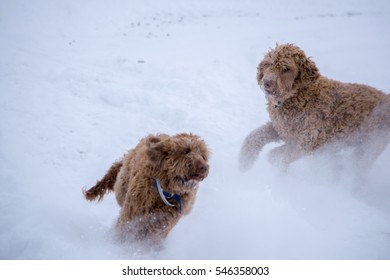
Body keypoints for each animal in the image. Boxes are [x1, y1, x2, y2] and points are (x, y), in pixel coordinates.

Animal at [239, 43, 390, 171]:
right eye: (268, 64)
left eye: (286, 69)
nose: (267, 83)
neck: (299, 96)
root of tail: (386, 97)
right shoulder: (281, 128)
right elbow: (254, 137)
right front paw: (244, 164)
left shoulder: (311, 141)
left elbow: (278, 155)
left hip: (370, 147)